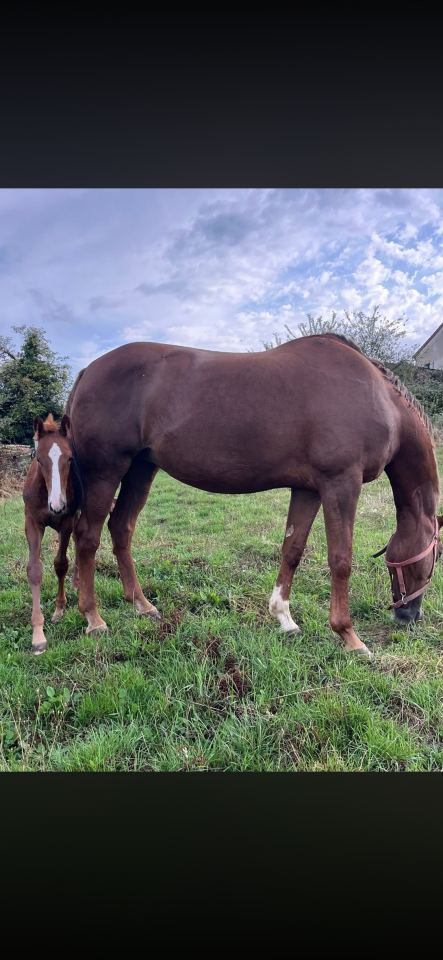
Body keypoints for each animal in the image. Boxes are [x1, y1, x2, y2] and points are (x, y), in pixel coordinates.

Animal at [66, 333, 443, 661]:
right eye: (436, 556)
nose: (411, 616)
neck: (379, 399)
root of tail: (88, 370)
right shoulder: (341, 483)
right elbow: (341, 559)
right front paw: (349, 636)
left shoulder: (308, 489)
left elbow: (292, 550)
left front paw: (285, 619)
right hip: (106, 472)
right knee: (87, 537)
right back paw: (93, 619)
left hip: (141, 470)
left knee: (121, 528)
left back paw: (142, 606)